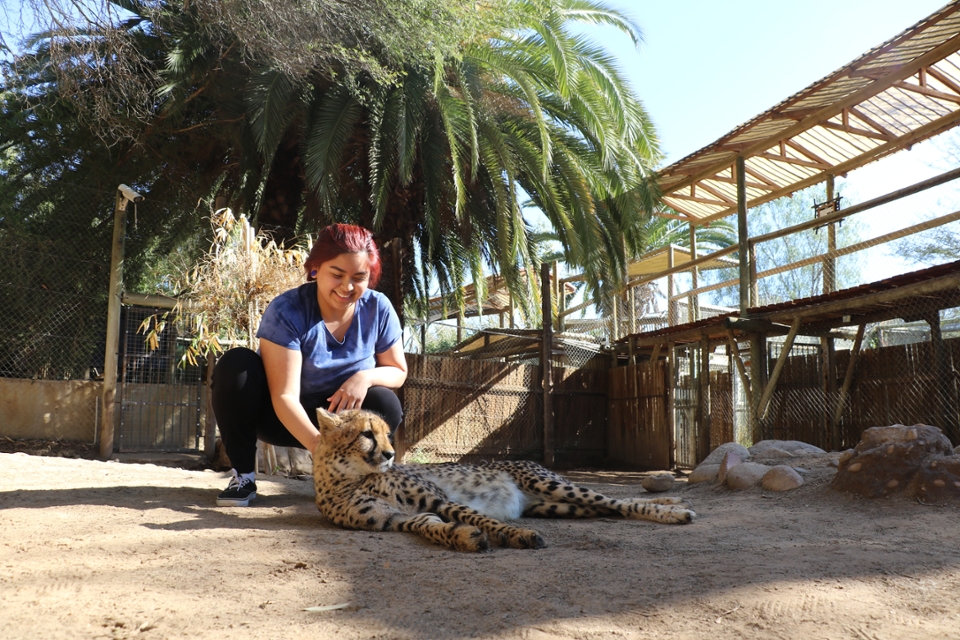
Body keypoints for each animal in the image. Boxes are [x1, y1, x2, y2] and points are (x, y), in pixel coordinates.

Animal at [316, 410, 696, 552]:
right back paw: (673, 503)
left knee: (617, 501)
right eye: (367, 434)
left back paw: (676, 509)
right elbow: (433, 527)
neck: (349, 479)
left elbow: (480, 517)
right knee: (613, 508)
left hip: (552, 485)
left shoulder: (440, 499)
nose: (390, 454)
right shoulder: (400, 518)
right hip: (555, 506)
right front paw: (464, 537)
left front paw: (517, 535)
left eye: (386, 433)